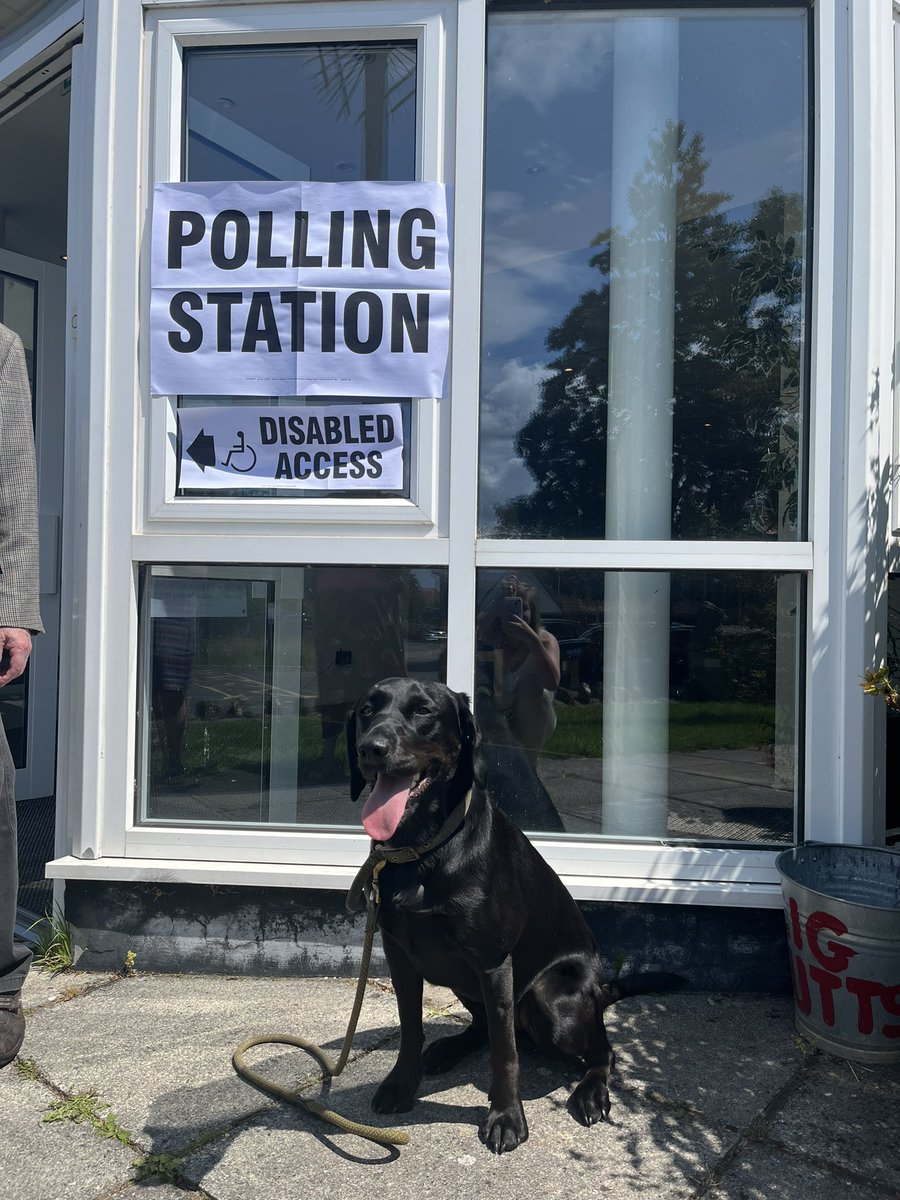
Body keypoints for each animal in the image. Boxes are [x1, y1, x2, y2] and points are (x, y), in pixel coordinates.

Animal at [348, 676, 681, 1152]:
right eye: (366, 710)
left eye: (423, 711)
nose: (370, 748)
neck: (424, 852)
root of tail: (599, 990)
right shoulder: (400, 957)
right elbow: (411, 1027)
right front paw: (400, 1085)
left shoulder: (493, 964)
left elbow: (505, 1052)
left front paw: (506, 1117)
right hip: (461, 980)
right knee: (483, 1025)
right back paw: (448, 1049)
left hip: (553, 1002)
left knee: (600, 1049)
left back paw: (591, 1092)